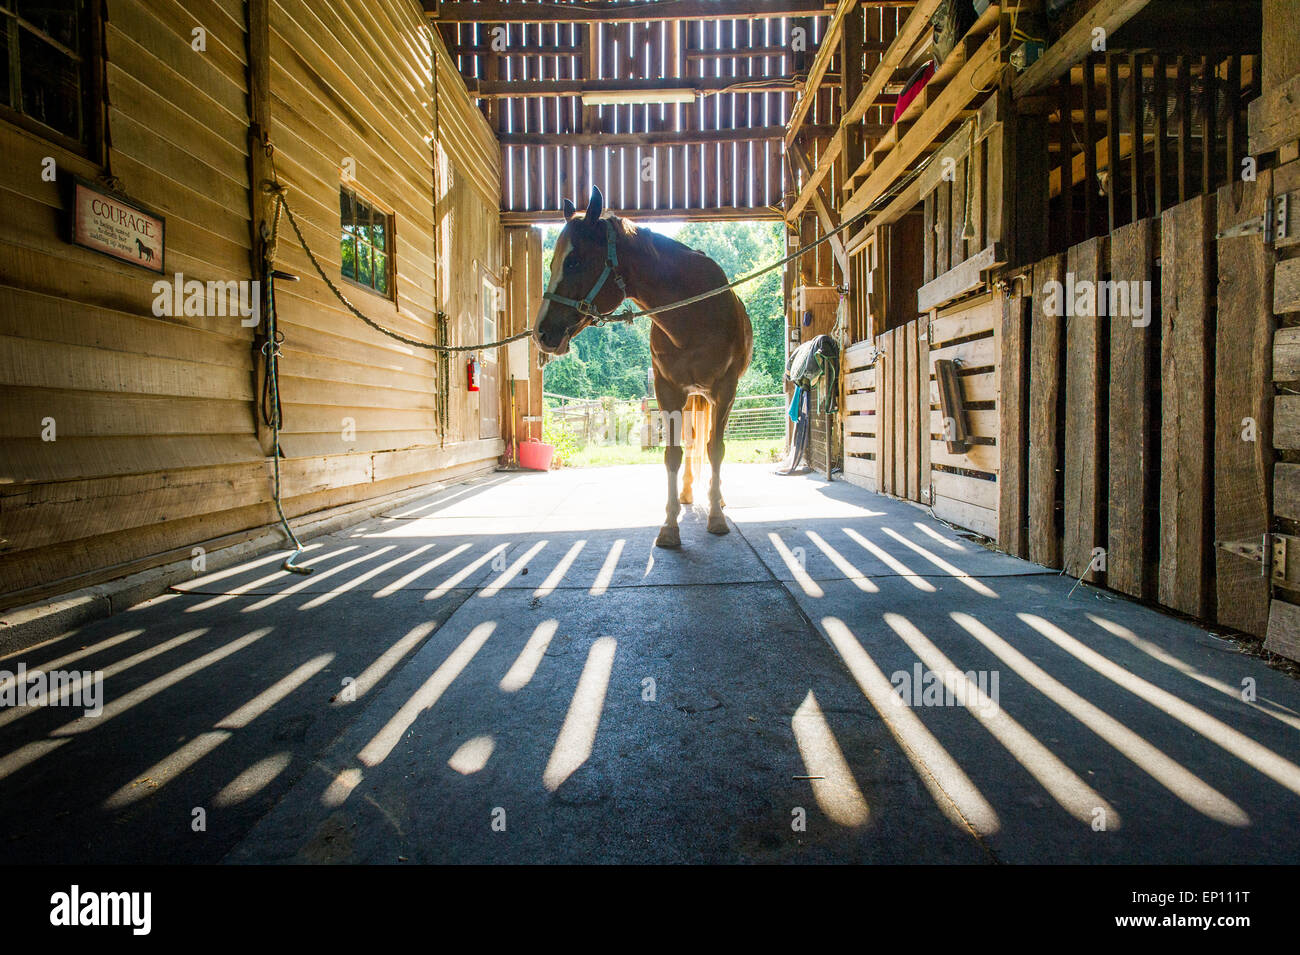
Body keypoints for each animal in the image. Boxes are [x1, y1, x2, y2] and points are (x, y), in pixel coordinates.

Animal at [530, 184, 754, 553]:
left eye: (574, 261)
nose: (542, 333)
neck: (694, 314)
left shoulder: (725, 390)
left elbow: (716, 449)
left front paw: (716, 518)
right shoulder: (668, 391)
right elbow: (673, 454)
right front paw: (670, 526)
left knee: (707, 444)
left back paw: (715, 498)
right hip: (692, 398)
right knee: (692, 442)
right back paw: (689, 492)